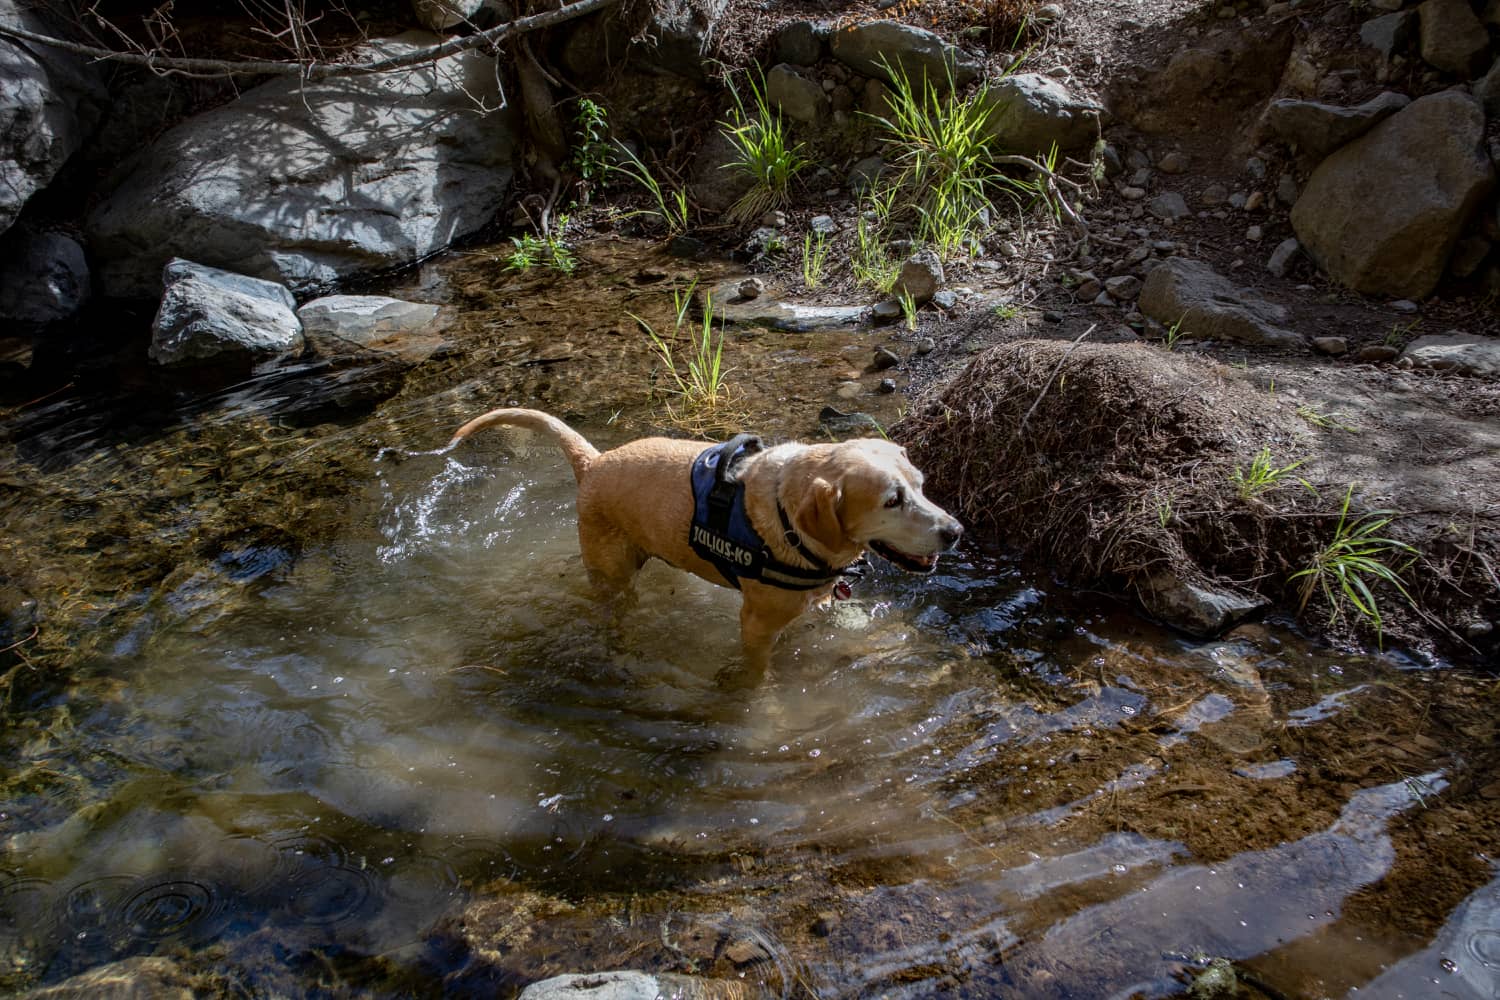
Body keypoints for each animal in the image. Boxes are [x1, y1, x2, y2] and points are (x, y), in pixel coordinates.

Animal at [447, 407, 960, 680]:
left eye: (921, 485)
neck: (788, 514)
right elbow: (756, 677)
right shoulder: (756, 625)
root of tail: (593, 462)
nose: (955, 532)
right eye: (892, 500)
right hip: (612, 576)